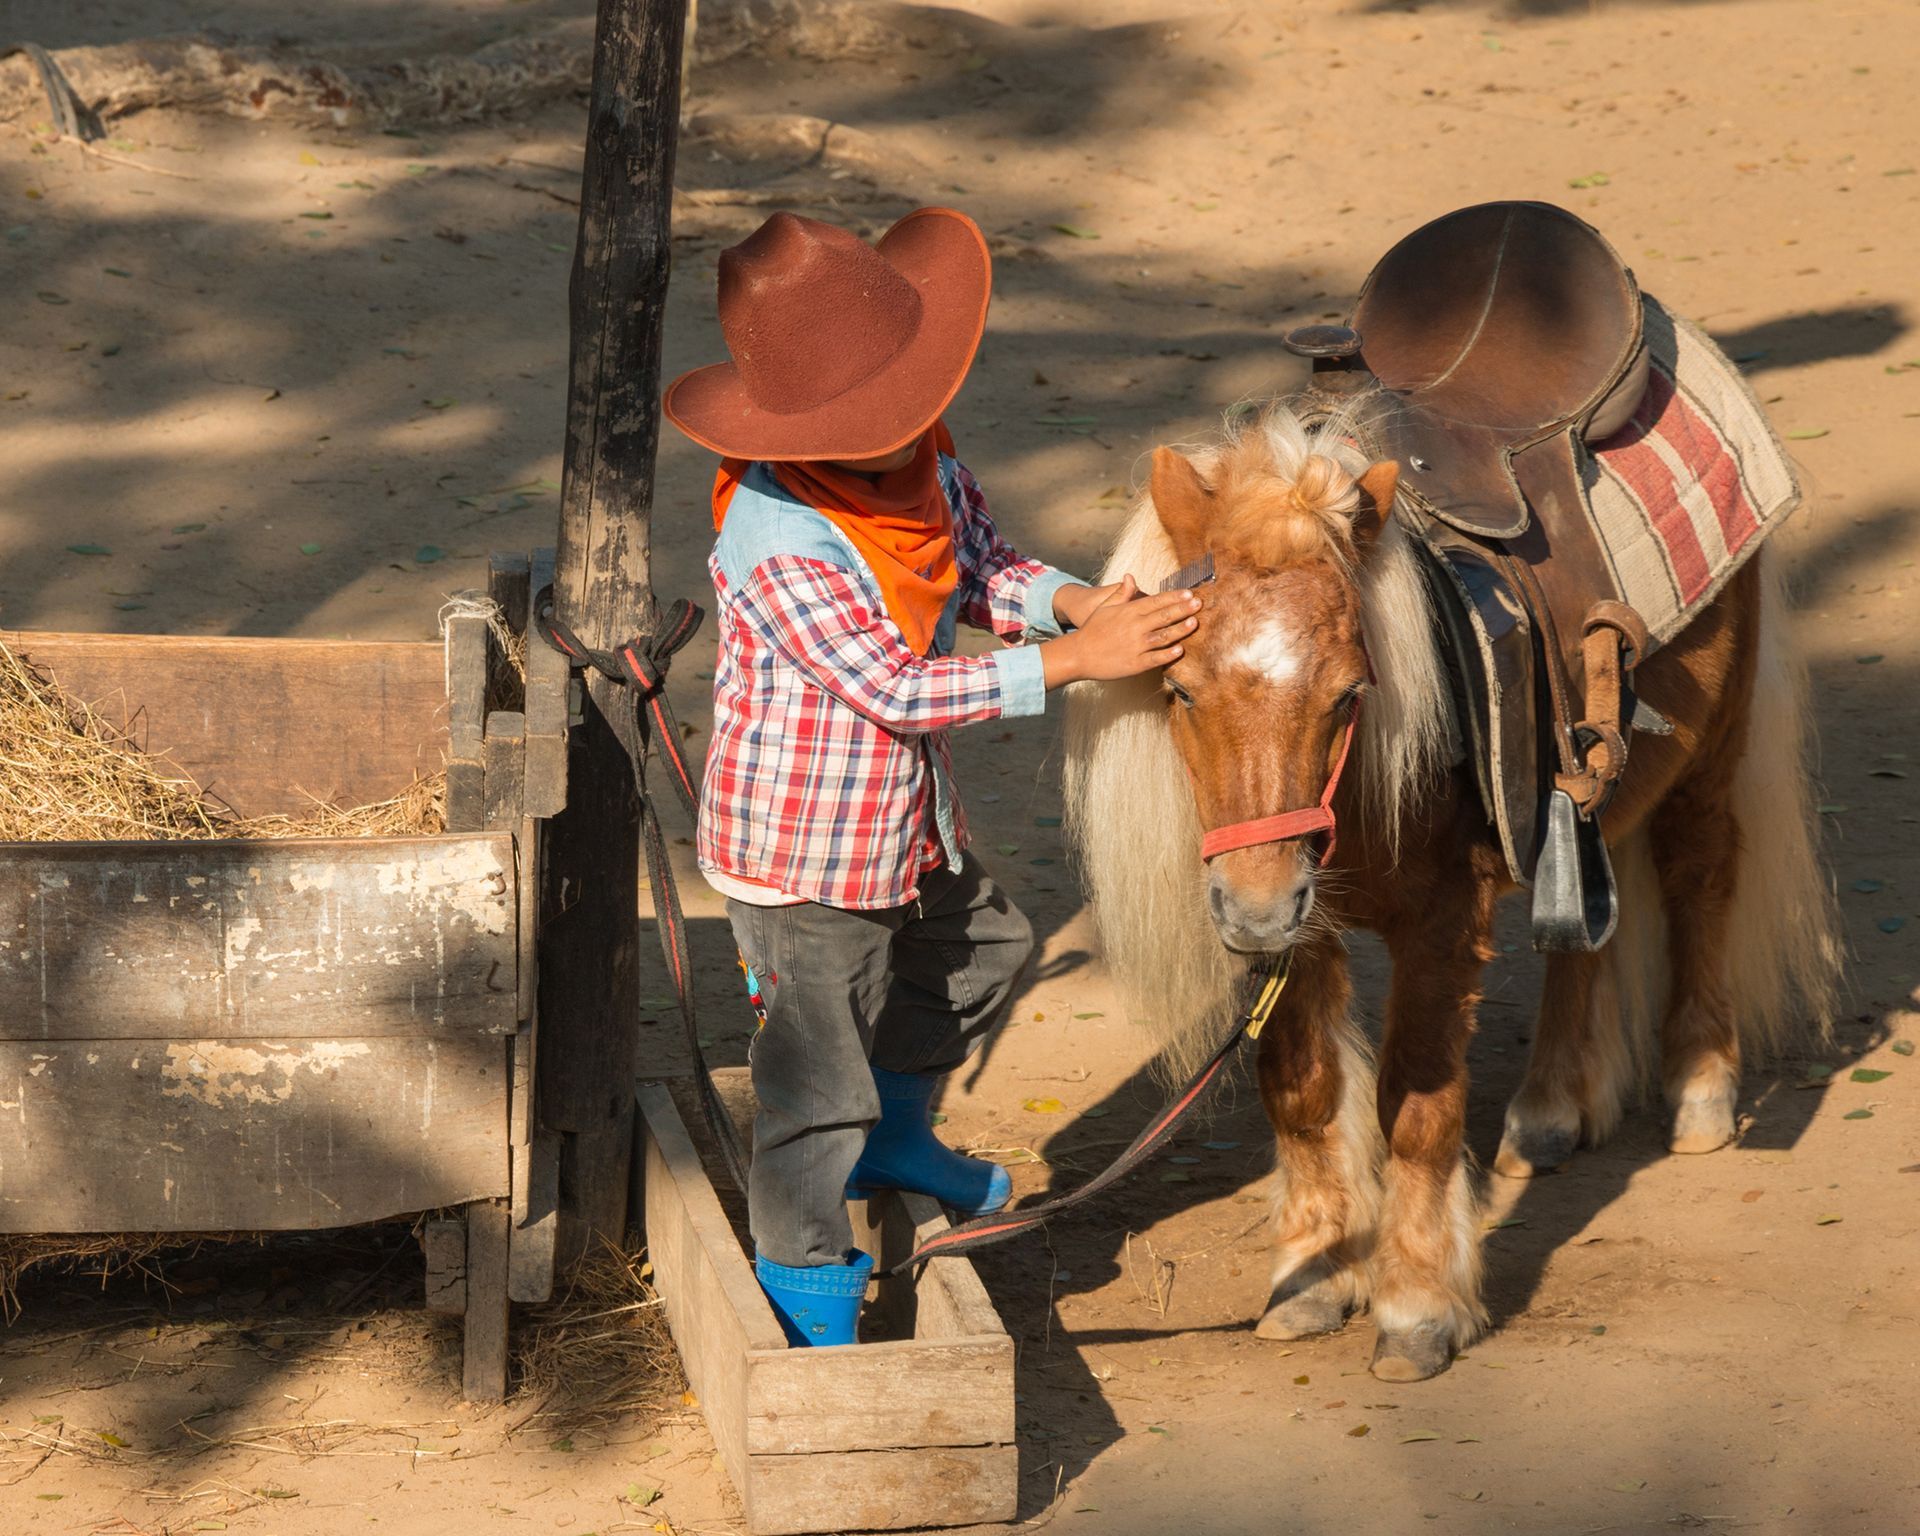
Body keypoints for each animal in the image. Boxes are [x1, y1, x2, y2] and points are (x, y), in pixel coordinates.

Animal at [1063, 400, 1839, 1382]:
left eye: (1348, 693)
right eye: (1180, 690)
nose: (1255, 905)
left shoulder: (1439, 923)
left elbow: (1415, 1111)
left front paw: (1417, 1308)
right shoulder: (1301, 933)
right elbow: (1302, 1089)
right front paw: (1311, 1277)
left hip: (1711, 747)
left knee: (1701, 874)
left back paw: (1701, 1087)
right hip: (1586, 803)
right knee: (1586, 932)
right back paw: (1549, 1109)